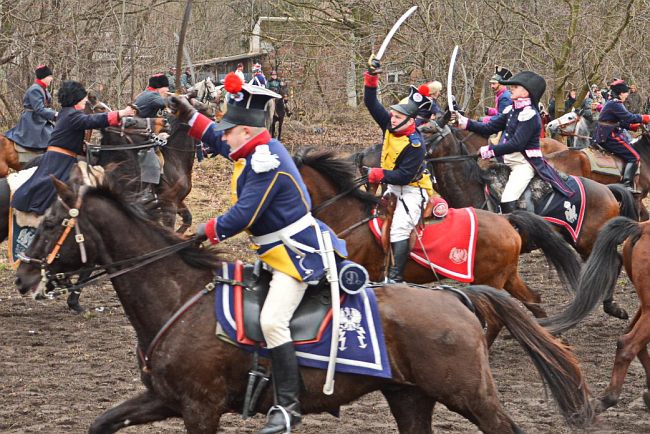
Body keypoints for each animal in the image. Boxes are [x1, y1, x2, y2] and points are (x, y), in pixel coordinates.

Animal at [15, 175, 592, 430]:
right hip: (409, 397)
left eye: (49, 223)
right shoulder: (164, 399)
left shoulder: (200, 408)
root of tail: (453, 297)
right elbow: (101, 423)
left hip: (469, 394)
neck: (178, 296)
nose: (22, 276)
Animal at [292, 150, 580, 342]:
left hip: (490, 280)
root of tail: (506, 219)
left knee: (497, 318)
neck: (350, 217)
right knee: (534, 300)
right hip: (507, 276)